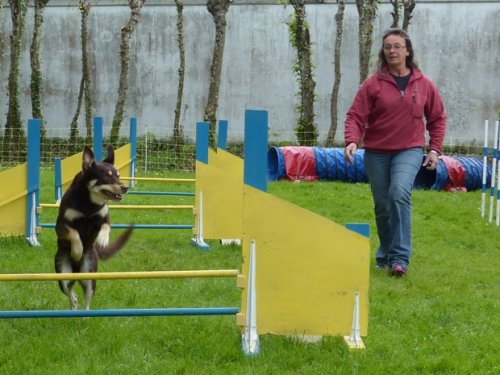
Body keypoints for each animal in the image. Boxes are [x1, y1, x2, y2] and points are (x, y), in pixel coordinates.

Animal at [55, 147, 133, 312]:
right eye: (106, 176)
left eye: (118, 175)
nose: (125, 187)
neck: (89, 203)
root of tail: (77, 270)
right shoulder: (60, 226)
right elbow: (74, 233)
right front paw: (77, 250)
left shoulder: (104, 219)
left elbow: (106, 227)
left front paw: (102, 239)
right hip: (62, 273)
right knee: (71, 294)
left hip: (89, 273)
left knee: (87, 299)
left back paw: (85, 315)